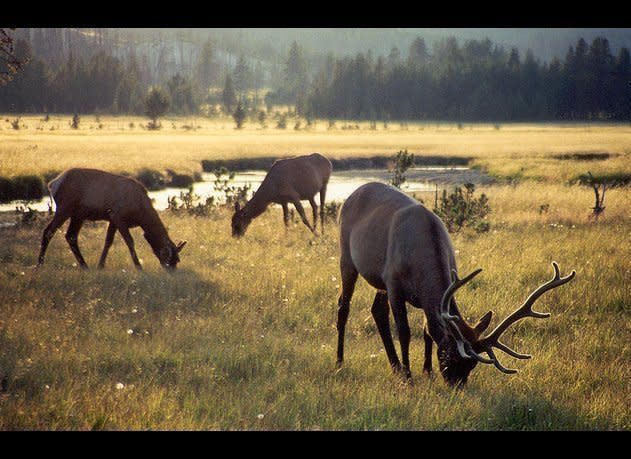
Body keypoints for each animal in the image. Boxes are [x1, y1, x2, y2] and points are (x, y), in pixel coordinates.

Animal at [37, 168, 186, 270]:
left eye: (177, 260)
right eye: (171, 259)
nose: (172, 271)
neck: (141, 214)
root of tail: (52, 184)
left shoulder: (112, 218)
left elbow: (108, 241)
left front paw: (100, 265)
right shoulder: (118, 216)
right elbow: (130, 242)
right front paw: (139, 267)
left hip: (78, 215)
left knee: (71, 236)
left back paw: (84, 266)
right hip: (65, 208)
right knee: (48, 231)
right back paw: (40, 264)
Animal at [338, 181, 576, 386]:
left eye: (472, 366)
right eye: (450, 357)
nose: (457, 386)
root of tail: (351, 195)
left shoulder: (427, 295)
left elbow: (427, 329)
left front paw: (426, 371)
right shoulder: (393, 283)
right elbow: (405, 332)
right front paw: (409, 377)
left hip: (378, 281)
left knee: (377, 310)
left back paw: (394, 366)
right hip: (347, 257)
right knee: (344, 305)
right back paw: (341, 362)